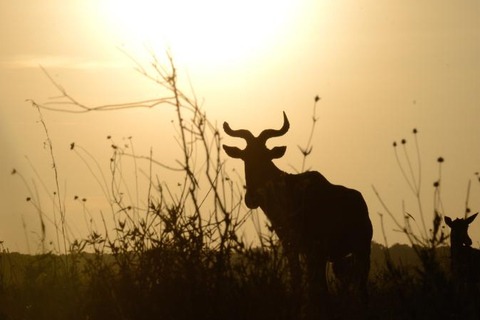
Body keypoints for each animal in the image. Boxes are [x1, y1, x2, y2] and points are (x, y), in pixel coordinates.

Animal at [223, 112, 374, 316]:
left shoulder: (315, 251)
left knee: (360, 286)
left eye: (265, 156)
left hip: (362, 250)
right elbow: (297, 276)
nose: (252, 198)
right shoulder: (292, 247)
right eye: (245, 158)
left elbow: (316, 284)